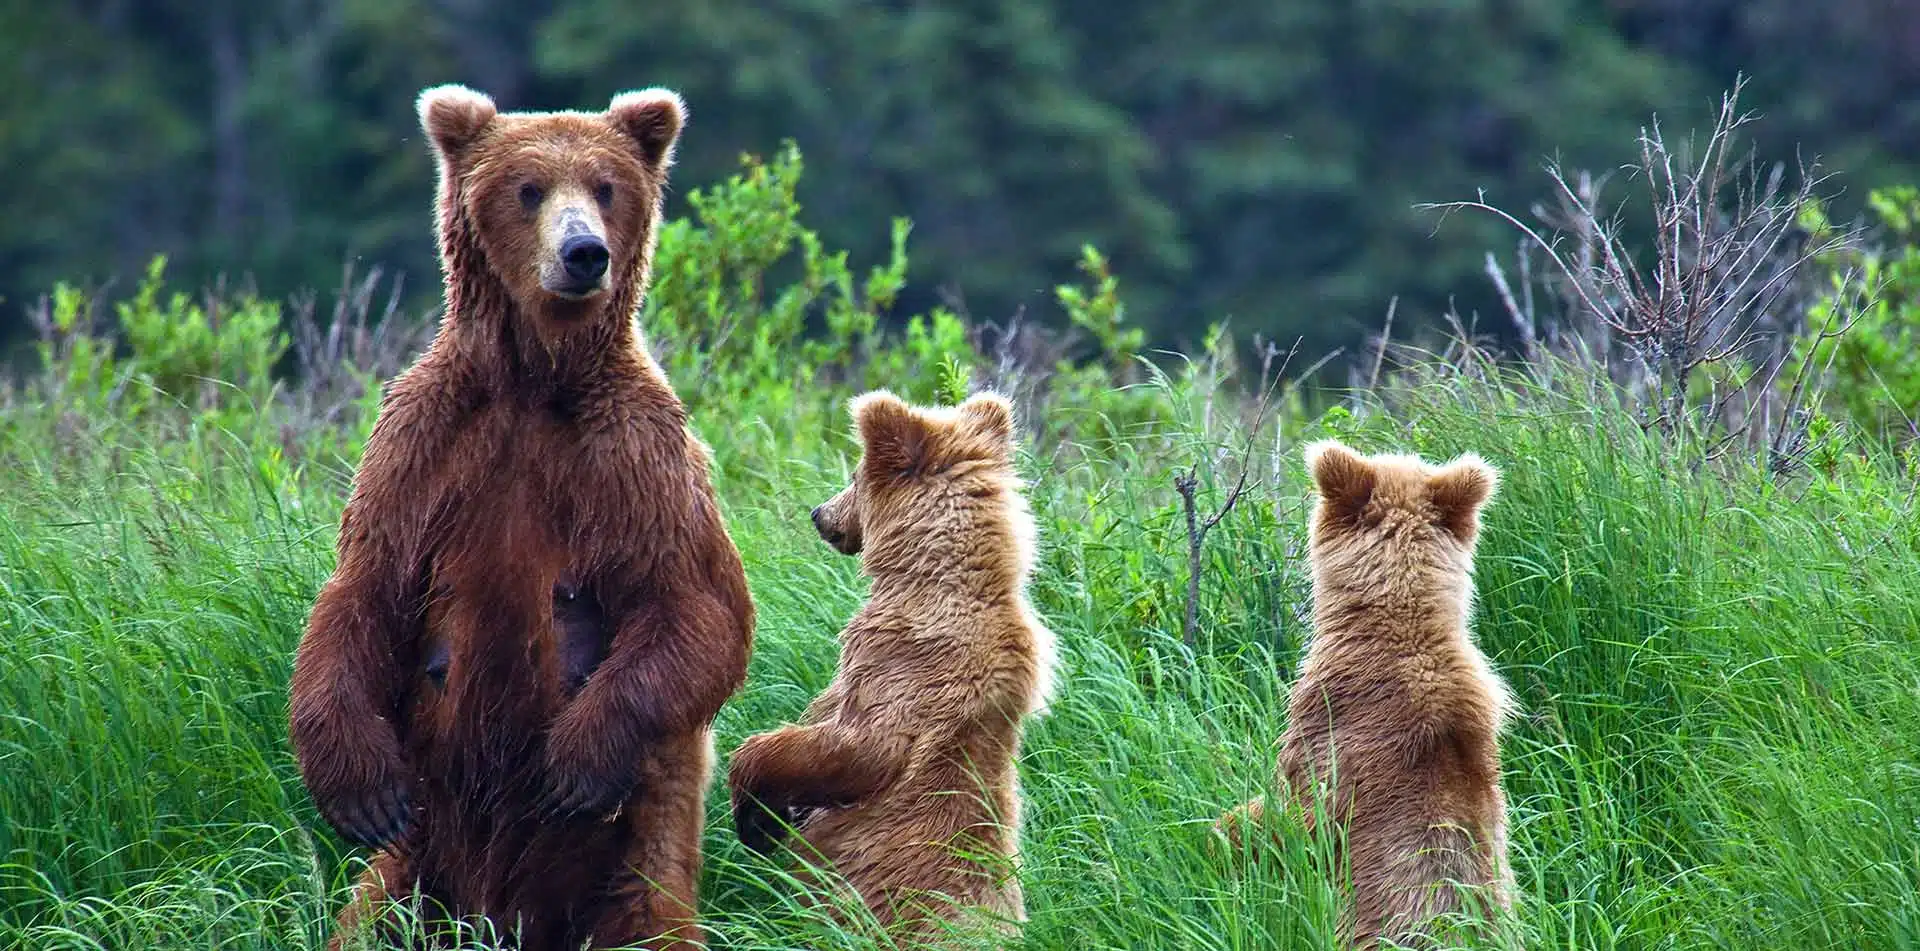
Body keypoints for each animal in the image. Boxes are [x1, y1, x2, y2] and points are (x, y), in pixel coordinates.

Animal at [288, 83, 752, 951]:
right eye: (529, 188)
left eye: (605, 186)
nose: (584, 253)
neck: (536, 379)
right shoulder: (424, 441)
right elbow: (362, 587)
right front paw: (360, 788)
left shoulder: (634, 452)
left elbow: (696, 605)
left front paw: (574, 762)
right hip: (420, 863)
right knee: (369, 916)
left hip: (632, 863)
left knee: (648, 918)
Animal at [725, 390, 1059, 941]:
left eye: (854, 475)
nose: (818, 513)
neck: (930, 579)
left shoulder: (905, 665)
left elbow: (856, 747)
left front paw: (758, 817)